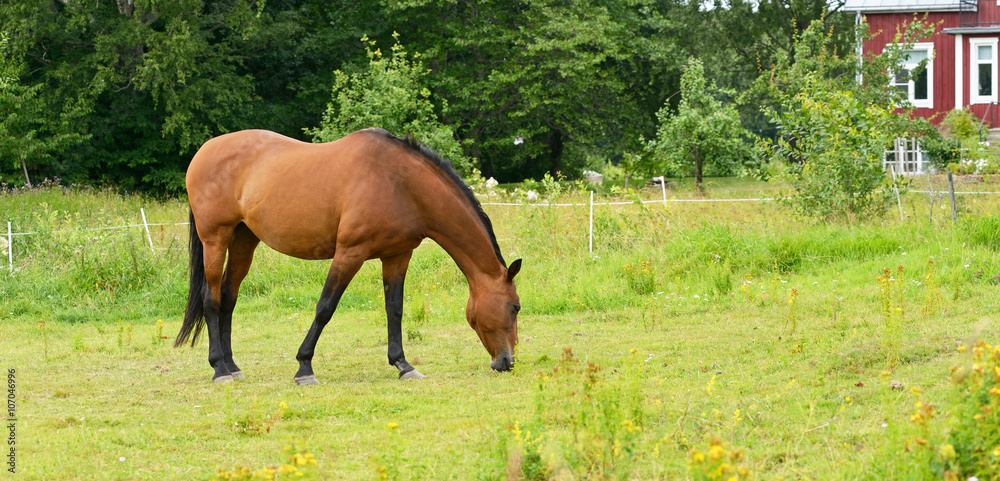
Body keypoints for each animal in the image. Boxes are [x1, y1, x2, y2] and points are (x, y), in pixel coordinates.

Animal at [174, 128, 522, 385]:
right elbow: (325, 308)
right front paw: (304, 367)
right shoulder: (349, 253)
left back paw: (233, 366)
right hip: (215, 239)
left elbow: (394, 309)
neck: (400, 184)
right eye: (515, 307)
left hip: (244, 241)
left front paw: (403, 365)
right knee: (211, 299)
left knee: (228, 298)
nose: (507, 362)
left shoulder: (397, 255)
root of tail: (203, 151)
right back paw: (219, 369)